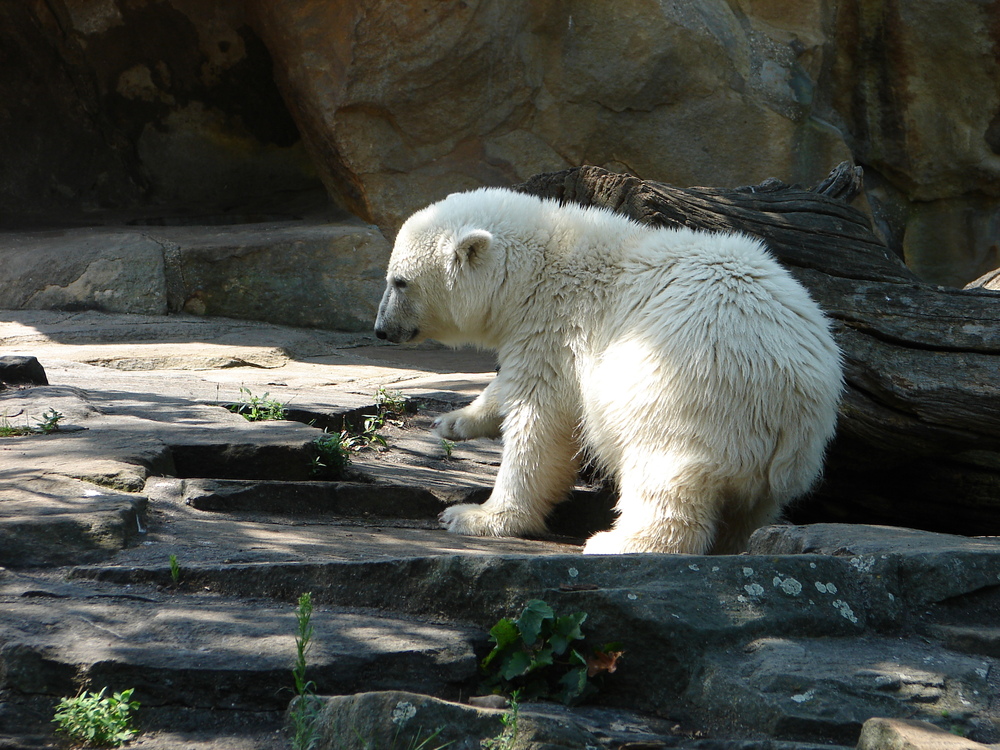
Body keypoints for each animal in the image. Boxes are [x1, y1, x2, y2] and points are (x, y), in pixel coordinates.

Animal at [376, 187, 844, 552]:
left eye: (400, 281)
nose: (381, 329)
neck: (539, 270)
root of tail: (794, 398)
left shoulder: (557, 329)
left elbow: (541, 422)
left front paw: (476, 516)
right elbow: (508, 387)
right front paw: (453, 421)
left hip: (689, 393)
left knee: (663, 471)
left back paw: (616, 542)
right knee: (748, 511)